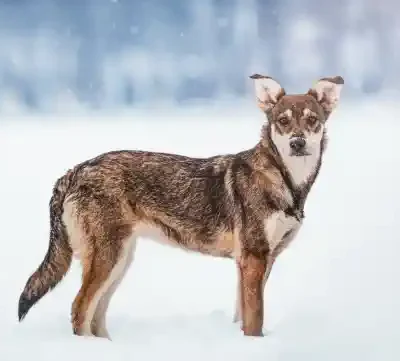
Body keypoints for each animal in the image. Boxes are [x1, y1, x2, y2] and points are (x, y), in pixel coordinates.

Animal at [18, 73, 344, 338]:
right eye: (283, 121)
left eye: (312, 120)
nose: (297, 143)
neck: (286, 182)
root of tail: (74, 170)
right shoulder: (254, 258)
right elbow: (255, 322)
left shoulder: (259, 261)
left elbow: (243, 317)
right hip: (109, 258)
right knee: (79, 309)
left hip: (120, 260)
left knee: (95, 316)